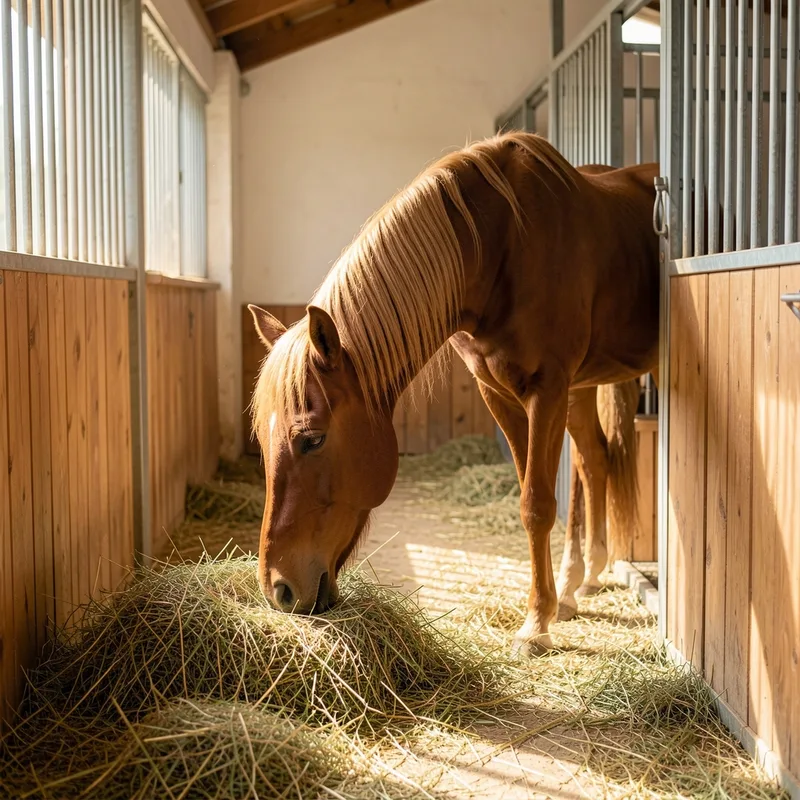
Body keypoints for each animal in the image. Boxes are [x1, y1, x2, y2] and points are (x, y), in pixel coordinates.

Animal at [247, 132, 660, 655]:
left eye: (312, 439)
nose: (278, 589)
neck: (500, 247)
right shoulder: (498, 392)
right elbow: (537, 492)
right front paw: (548, 608)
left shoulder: (546, 387)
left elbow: (536, 504)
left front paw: (535, 625)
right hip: (581, 389)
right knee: (594, 462)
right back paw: (576, 585)